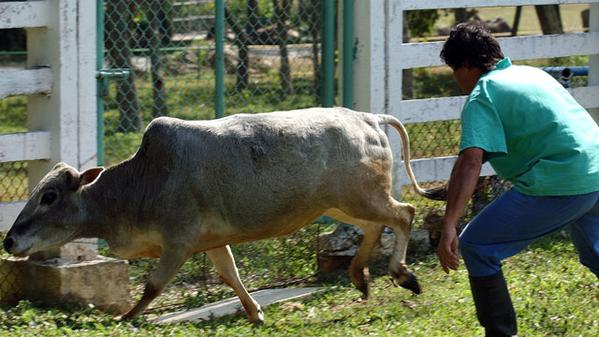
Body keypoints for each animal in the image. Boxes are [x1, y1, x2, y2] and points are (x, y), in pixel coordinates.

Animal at [2, 107, 442, 320]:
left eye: (49, 196)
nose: (10, 240)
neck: (142, 181)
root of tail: (368, 117)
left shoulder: (178, 241)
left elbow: (153, 287)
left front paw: (123, 319)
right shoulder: (210, 242)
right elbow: (230, 275)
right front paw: (255, 313)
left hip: (360, 198)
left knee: (404, 213)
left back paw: (403, 275)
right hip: (341, 204)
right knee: (375, 227)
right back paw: (360, 277)